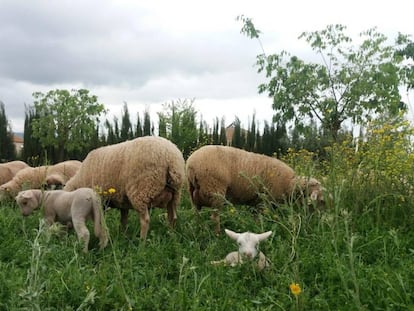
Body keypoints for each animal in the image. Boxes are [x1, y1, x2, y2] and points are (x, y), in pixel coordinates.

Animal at [186, 145, 326, 233]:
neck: (290, 184)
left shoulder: (257, 203)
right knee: (214, 218)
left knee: (196, 214)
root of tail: (191, 164)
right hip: (215, 189)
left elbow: (256, 219)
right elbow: (260, 220)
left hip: (193, 193)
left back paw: (199, 230)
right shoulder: (265, 202)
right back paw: (217, 234)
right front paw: (260, 230)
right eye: (321, 201)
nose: (318, 219)